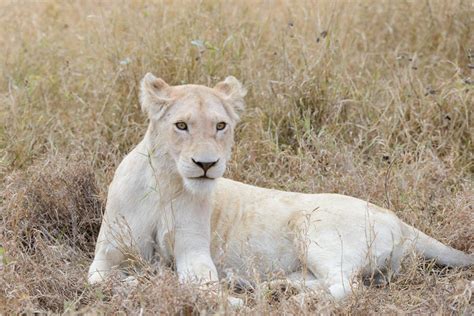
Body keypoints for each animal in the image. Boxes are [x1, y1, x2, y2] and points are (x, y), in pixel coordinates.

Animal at [88, 73, 470, 300]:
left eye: (221, 125)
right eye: (181, 125)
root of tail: (397, 218)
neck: (166, 182)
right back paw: (270, 286)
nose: (206, 164)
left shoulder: (194, 252)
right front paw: (145, 279)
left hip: (315, 230)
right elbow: (102, 279)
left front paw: (222, 298)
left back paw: (292, 298)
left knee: (346, 285)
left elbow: (200, 285)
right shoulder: (104, 256)